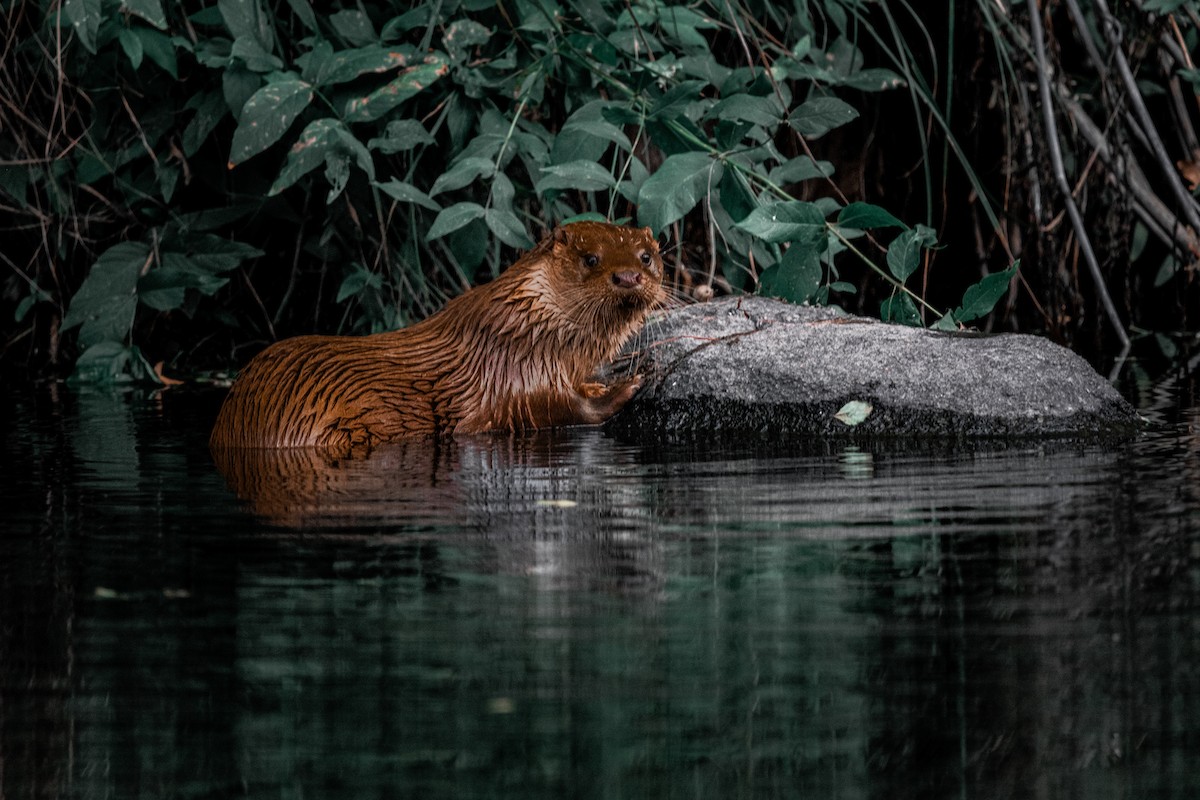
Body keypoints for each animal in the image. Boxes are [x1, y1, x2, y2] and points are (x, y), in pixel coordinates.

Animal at [209, 221, 665, 450]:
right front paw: (628, 383)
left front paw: (600, 382)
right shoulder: (512, 374)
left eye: (646, 256)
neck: (528, 325)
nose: (629, 276)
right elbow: (562, 409)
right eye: (591, 259)